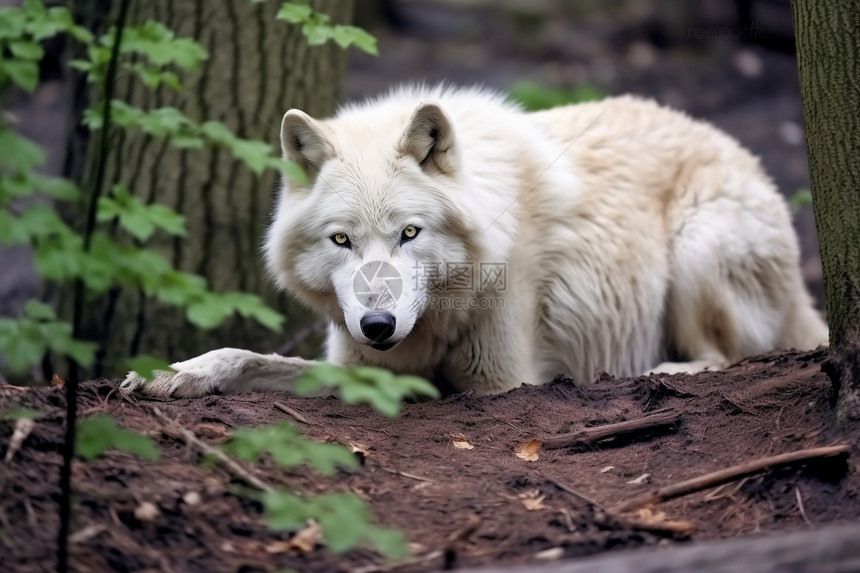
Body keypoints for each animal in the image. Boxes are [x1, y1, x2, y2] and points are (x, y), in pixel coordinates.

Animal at [121, 85, 828, 398]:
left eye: (410, 233)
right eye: (342, 240)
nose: (377, 325)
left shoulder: (503, 381)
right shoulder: (361, 368)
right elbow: (246, 356)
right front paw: (176, 375)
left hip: (698, 247)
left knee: (726, 356)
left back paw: (656, 372)